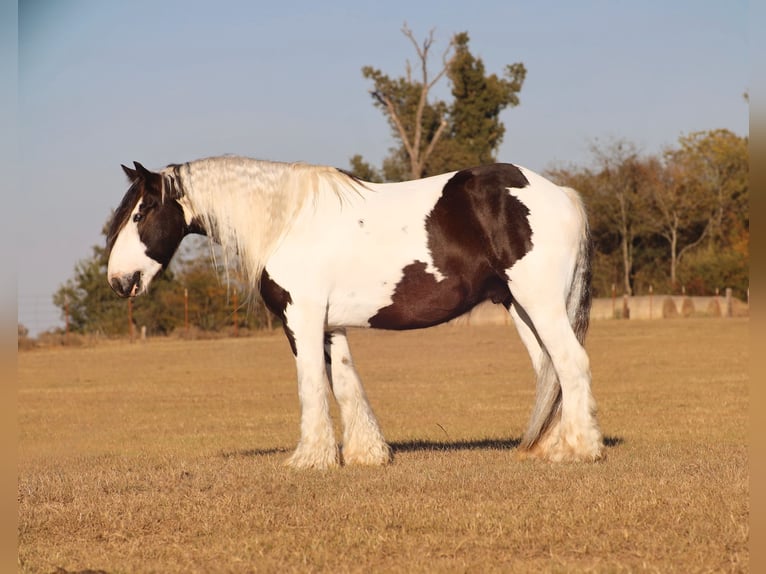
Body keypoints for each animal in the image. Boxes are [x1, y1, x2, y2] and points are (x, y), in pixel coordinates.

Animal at [106, 156, 608, 468]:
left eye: (142, 212)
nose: (119, 280)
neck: (286, 221)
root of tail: (561, 193)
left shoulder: (302, 318)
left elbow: (312, 384)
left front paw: (310, 458)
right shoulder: (331, 325)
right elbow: (346, 383)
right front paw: (367, 455)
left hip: (540, 302)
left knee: (572, 363)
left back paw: (580, 449)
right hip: (522, 307)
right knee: (550, 370)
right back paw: (553, 446)